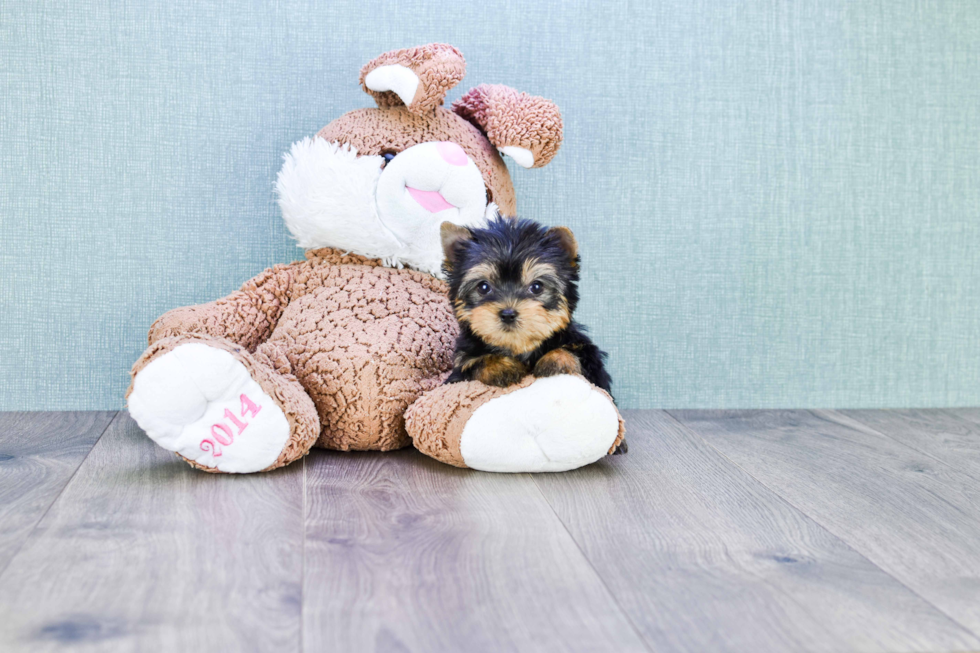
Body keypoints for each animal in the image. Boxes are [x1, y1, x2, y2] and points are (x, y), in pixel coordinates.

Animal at [442, 215, 616, 398]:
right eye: (483, 287)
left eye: (537, 287)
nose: (508, 314)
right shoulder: (460, 369)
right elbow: (473, 364)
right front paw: (499, 366)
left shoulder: (590, 361)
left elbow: (574, 354)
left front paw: (555, 360)